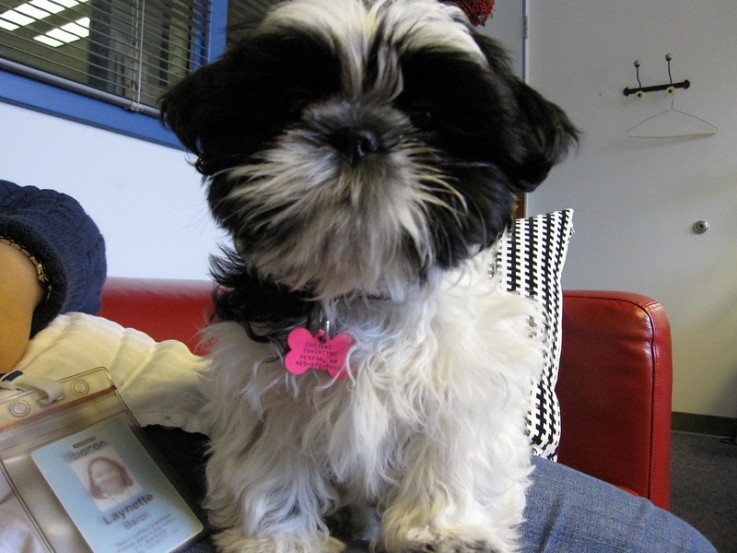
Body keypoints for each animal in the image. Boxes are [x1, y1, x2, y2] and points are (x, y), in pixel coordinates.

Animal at [160, 1, 576, 552]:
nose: (356, 136)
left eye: (425, 117)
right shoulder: (263, 390)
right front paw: (281, 538)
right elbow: (271, 466)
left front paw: (443, 530)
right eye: (294, 105)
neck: (359, 289)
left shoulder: (461, 385)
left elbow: (449, 456)